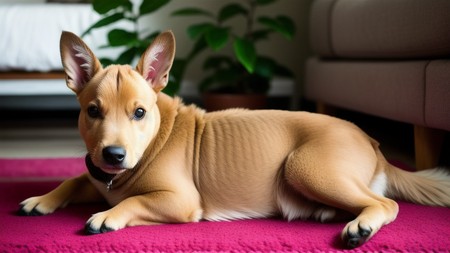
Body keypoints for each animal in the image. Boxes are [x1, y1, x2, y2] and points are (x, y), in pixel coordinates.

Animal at [19, 30, 448, 248]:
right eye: (93, 112)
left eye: (139, 113)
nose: (112, 154)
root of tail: (374, 144)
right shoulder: (95, 173)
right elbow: (74, 178)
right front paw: (43, 198)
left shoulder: (180, 201)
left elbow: (134, 200)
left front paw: (108, 215)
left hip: (305, 167)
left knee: (386, 203)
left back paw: (363, 225)